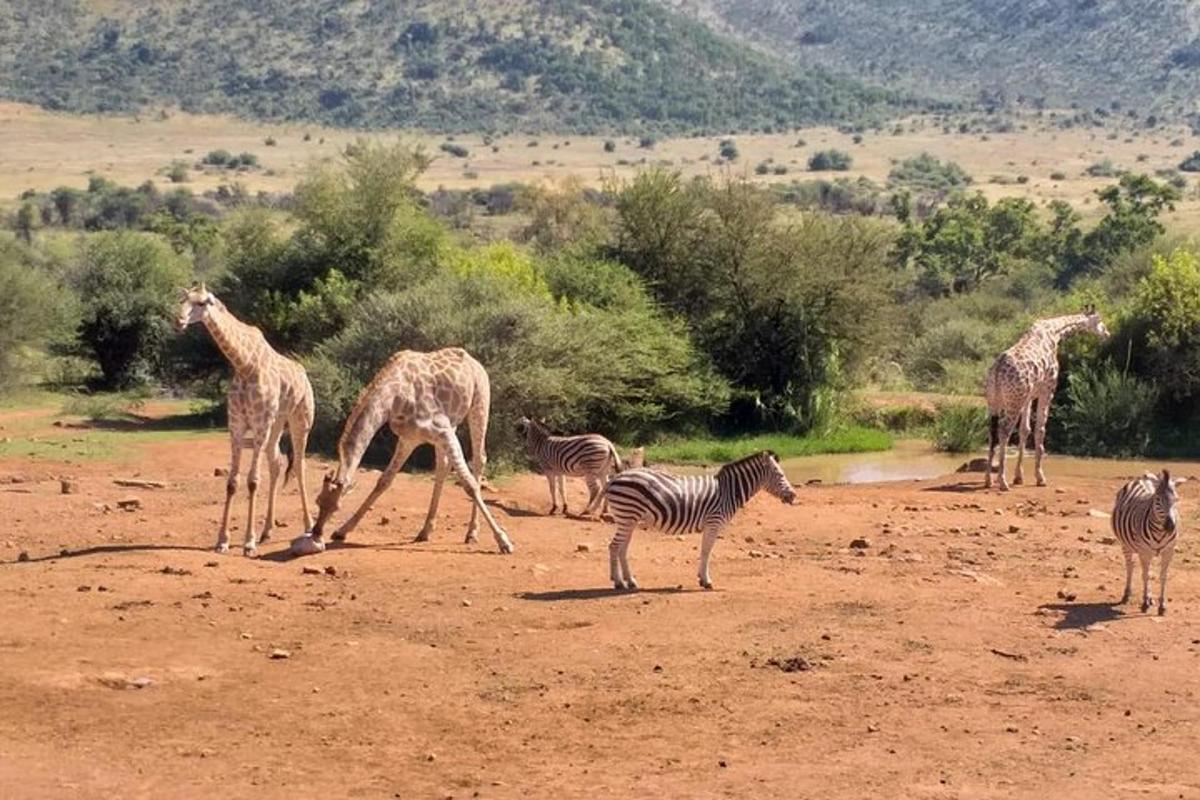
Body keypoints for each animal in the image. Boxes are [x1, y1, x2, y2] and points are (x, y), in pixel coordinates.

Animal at [175, 284, 316, 554]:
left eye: (202, 302)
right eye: (182, 300)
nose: (179, 321)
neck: (244, 364)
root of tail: (304, 374)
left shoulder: (259, 426)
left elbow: (252, 481)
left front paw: (248, 543)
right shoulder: (237, 426)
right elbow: (232, 482)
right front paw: (223, 540)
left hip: (300, 420)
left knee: (300, 465)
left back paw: (308, 525)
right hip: (276, 423)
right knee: (277, 462)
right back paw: (267, 530)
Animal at [294, 345, 516, 556]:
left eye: (337, 507)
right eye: (318, 501)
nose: (316, 532)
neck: (394, 396)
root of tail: (474, 362)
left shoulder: (442, 429)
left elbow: (469, 484)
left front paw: (504, 541)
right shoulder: (410, 438)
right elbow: (384, 481)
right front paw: (343, 530)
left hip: (479, 405)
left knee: (479, 459)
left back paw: (471, 533)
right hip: (451, 425)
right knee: (443, 466)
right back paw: (425, 530)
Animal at [600, 453, 796, 592]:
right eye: (780, 475)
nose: (794, 496)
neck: (728, 491)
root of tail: (615, 478)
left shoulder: (710, 524)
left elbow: (704, 551)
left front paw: (702, 578)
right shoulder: (713, 523)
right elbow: (707, 551)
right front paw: (706, 581)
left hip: (629, 519)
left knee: (622, 548)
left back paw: (630, 581)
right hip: (627, 515)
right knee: (614, 546)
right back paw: (619, 582)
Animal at [984, 307, 1104, 491]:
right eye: (1099, 320)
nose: (1107, 333)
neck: (1055, 332)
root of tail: (997, 368)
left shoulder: (1028, 397)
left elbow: (1025, 430)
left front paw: (1019, 477)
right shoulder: (1047, 390)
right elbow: (1040, 430)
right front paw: (1040, 477)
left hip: (994, 401)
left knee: (992, 431)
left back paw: (988, 480)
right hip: (1013, 402)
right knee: (1004, 430)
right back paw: (1002, 481)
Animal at [1108, 465, 1185, 618]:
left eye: (1177, 500)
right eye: (1157, 499)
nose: (1170, 526)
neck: (1160, 532)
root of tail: (1139, 479)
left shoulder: (1169, 552)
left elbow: (1162, 576)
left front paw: (1162, 605)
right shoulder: (1144, 552)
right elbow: (1145, 576)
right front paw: (1144, 603)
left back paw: (1149, 598)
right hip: (1126, 545)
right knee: (1130, 567)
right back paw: (1127, 595)